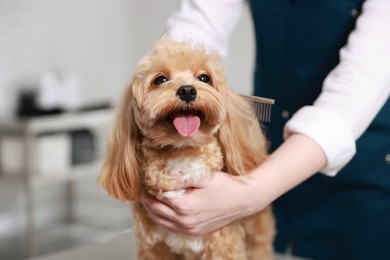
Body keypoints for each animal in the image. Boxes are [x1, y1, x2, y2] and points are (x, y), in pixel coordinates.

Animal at [98, 37, 274, 258]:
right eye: (160, 80)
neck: (182, 154)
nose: (188, 90)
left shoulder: (223, 245)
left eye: (204, 78)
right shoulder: (153, 248)